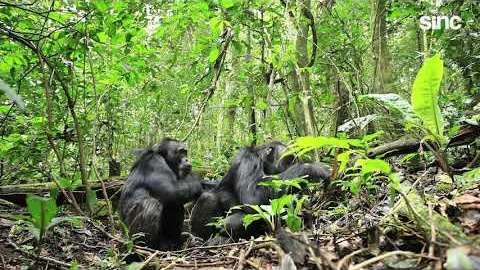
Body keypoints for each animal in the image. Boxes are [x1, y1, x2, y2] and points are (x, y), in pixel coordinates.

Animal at [188, 141, 330, 240]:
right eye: (289, 159)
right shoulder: (249, 162)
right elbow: (253, 198)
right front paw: (312, 167)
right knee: (209, 198)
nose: (293, 163)